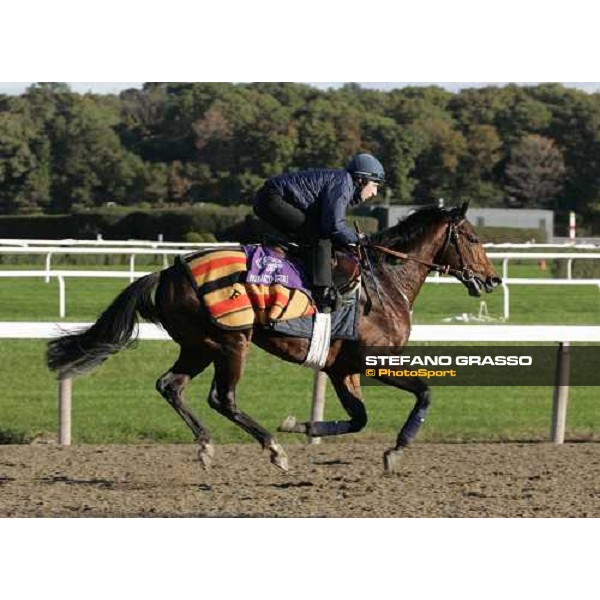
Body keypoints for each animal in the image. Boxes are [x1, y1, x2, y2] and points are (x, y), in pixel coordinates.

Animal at [45, 202, 502, 474]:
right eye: (473, 238)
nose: (493, 279)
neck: (386, 283)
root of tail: (169, 270)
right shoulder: (371, 361)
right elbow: (424, 392)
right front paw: (396, 450)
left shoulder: (341, 369)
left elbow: (358, 418)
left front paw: (302, 425)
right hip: (232, 341)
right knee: (222, 398)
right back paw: (272, 449)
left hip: (198, 344)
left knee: (169, 386)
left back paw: (207, 445)